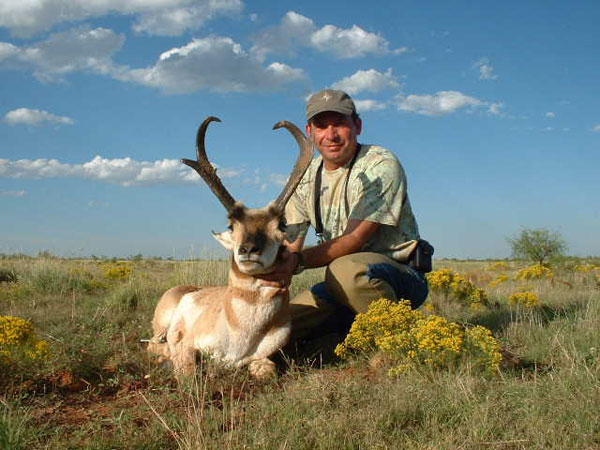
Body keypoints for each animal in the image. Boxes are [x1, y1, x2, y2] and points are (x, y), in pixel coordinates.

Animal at [148, 114, 312, 378]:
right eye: (231, 225)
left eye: (282, 225)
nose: (248, 250)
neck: (240, 336)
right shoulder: (186, 345)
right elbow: (187, 369)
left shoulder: (264, 358)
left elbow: (267, 370)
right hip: (161, 324)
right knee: (153, 343)